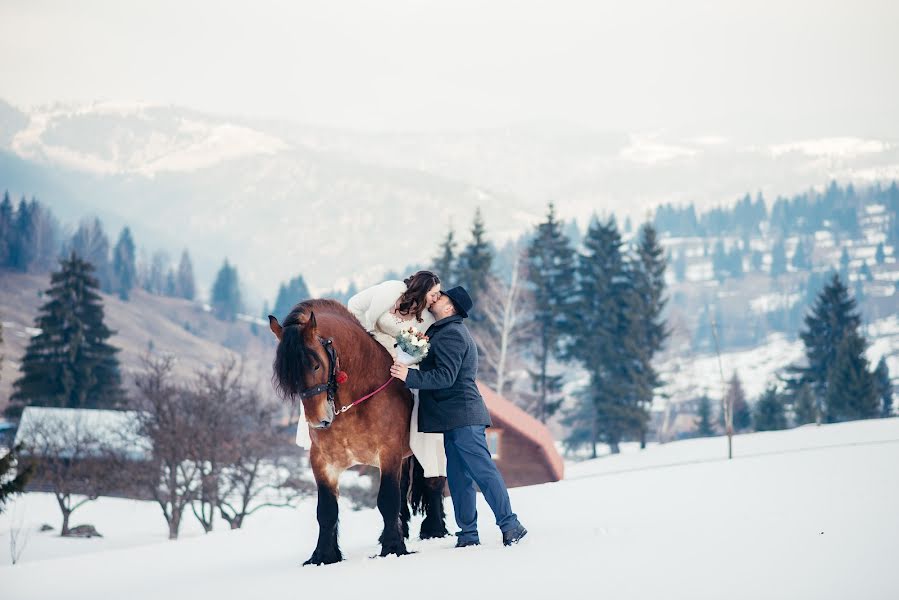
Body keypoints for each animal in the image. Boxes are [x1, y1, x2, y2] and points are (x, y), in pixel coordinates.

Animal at [268, 298, 448, 564]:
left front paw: (393, 548)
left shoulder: (389, 452)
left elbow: (387, 499)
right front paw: (323, 555)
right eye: (287, 376)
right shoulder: (322, 461)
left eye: (315, 365)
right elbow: (326, 510)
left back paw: (434, 530)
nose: (319, 421)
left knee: (434, 482)